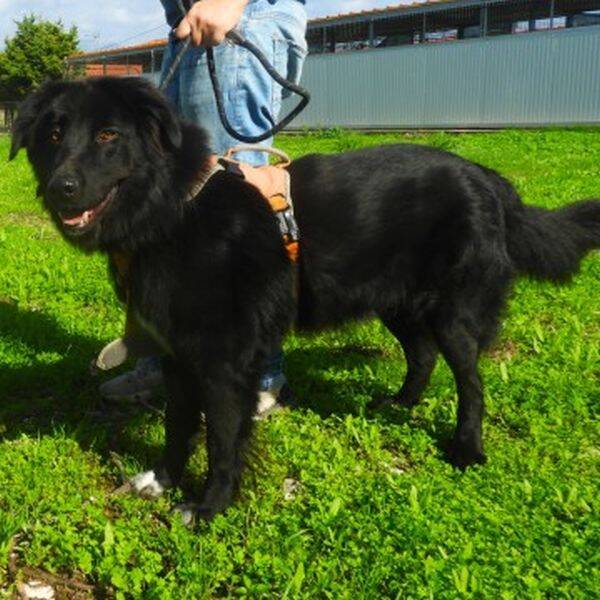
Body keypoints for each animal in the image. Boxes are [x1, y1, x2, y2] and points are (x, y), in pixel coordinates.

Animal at [10, 77, 600, 522]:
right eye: (54, 134)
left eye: (109, 134)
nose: (60, 188)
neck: (174, 209)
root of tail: (489, 179)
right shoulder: (178, 356)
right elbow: (178, 429)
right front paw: (162, 479)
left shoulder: (225, 364)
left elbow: (222, 442)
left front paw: (208, 507)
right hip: (397, 303)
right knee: (422, 355)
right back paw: (400, 405)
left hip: (453, 312)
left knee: (470, 381)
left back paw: (466, 448)